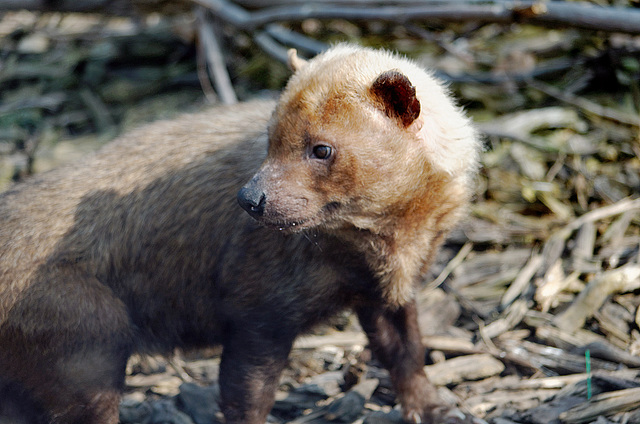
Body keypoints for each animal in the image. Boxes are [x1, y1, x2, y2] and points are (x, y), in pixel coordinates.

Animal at [0, 44, 478, 422]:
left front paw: (439, 410)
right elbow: (247, 394)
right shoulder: (257, 309)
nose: (250, 199)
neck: (381, 243)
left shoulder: (386, 290)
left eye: (322, 148)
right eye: (270, 137)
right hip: (89, 341)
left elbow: (406, 351)